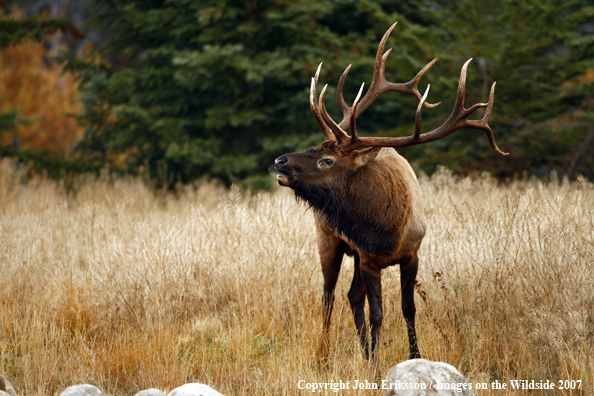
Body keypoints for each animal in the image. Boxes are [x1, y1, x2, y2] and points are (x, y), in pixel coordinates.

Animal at [272, 21, 504, 362]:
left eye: (327, 160)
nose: (280, 161)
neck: (385, 231)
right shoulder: (368, 257)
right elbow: (377, 313)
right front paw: (376, 363)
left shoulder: (412, 252)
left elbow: (408, 309)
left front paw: (409, 356)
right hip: (328, 238)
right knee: (329, 295)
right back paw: (324, 356)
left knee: (350, 295)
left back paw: (363, 351)